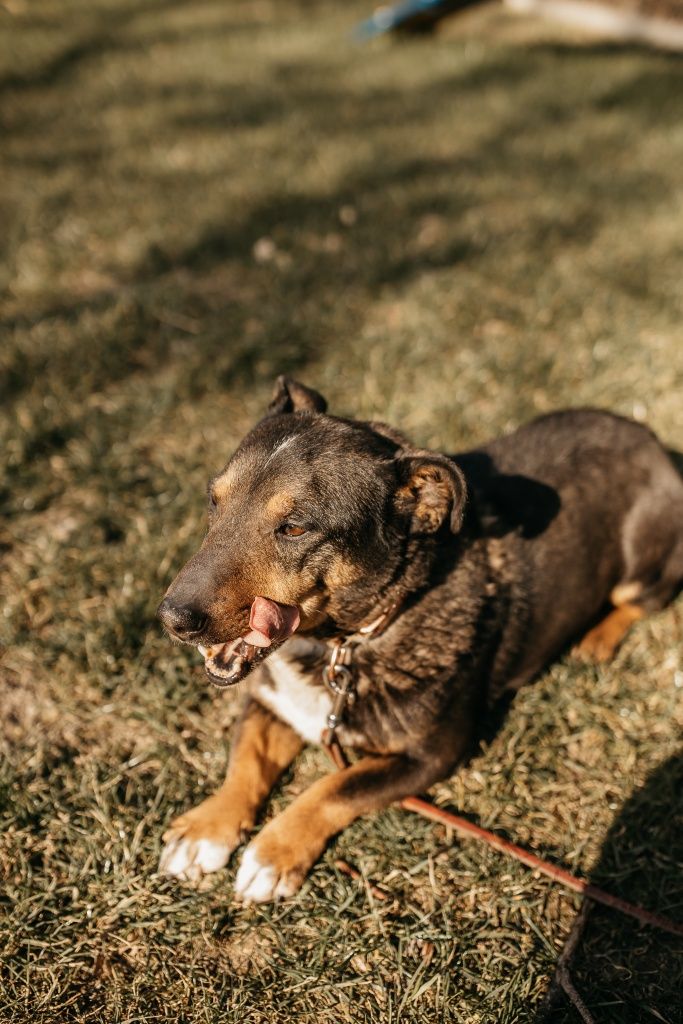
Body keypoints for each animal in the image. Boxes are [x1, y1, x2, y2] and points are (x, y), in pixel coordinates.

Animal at [157, 378, 683, 905]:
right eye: (214, 501)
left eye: (294, 527)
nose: (172, 619)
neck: (349, 640)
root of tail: (657, 446)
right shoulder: (272, 703)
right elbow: (245, 762)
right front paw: (204, 830)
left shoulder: (430, 755)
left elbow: (334, 787)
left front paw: (273, 852)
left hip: (642, 560)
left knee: (639, 600)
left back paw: (597, 639)